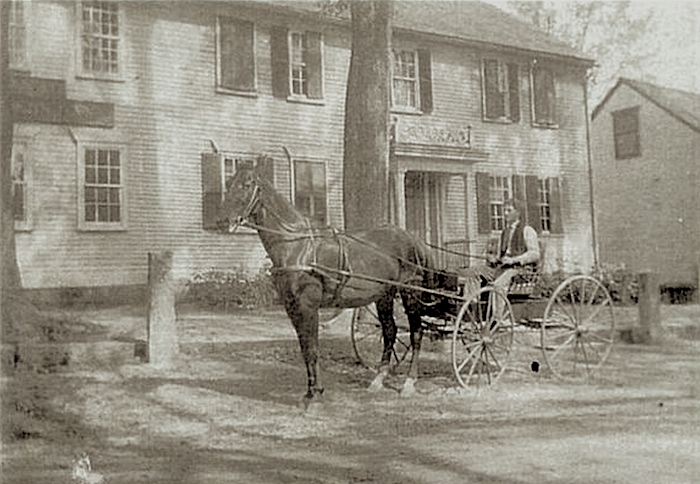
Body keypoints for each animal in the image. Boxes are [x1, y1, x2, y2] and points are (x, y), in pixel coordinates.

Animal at [217, 159, 438, 400]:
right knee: (390, 332)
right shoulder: (292, 307)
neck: (297, 245)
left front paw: (316, 394)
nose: (222, 221)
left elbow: (313, 348)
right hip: (384, 295)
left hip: (410, 292)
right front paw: (310, 391)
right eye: (228, 183)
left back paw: (409, 382)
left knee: (416, 332)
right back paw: (378, 380)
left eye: (246, 184)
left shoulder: (308, 305)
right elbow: (305, 348)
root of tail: (413, 239)